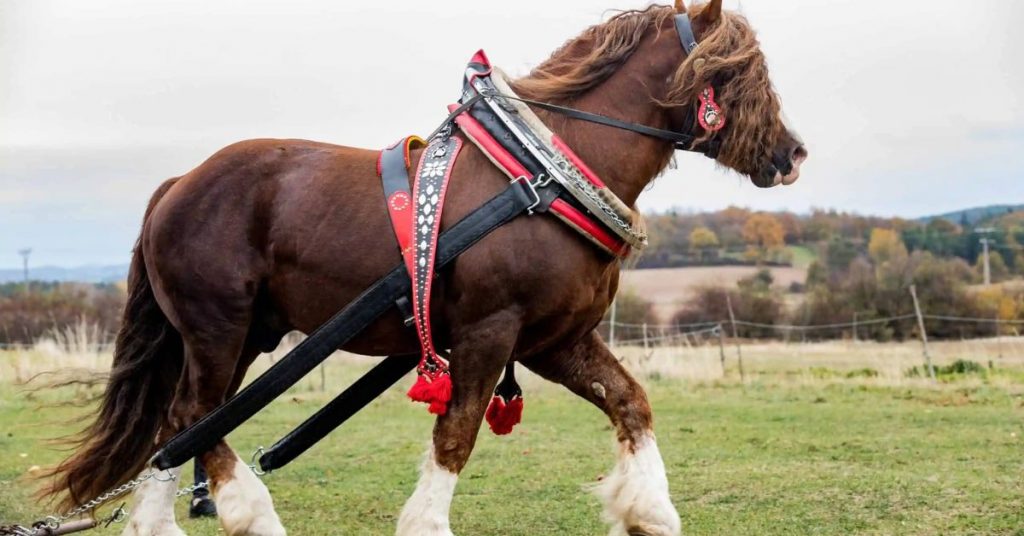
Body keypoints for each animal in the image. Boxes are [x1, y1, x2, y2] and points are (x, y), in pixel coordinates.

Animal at [42, 2, 806, 535]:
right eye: (741, 70)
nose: (792, 154)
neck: (540, 174)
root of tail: (178, 184)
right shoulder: (488, 330)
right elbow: (457, 434)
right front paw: (428, 521)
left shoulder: (557, 339)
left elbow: (630, 402)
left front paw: (651, 511)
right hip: (216, 327)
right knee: (194, 417)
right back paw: (250, 513)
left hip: (243, 336)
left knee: (179, 429)